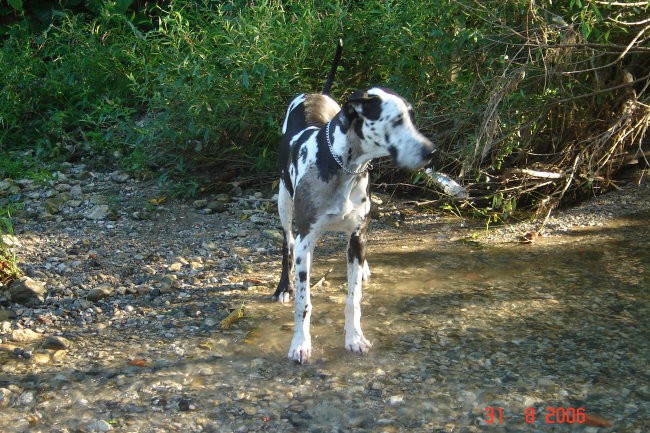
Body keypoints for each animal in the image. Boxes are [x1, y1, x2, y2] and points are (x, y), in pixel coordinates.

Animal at [272, 40, 436, 362]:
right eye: (396, 120)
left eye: (411, 118)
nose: (430, 151)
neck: (341, 165)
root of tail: (316, 93)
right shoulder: (306, 239)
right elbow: (304, 302)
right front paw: (300, 343)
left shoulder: (358, 234)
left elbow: (354, 299)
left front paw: (355, 337)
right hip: (284, 204)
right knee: (286, 244)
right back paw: (284, 286)